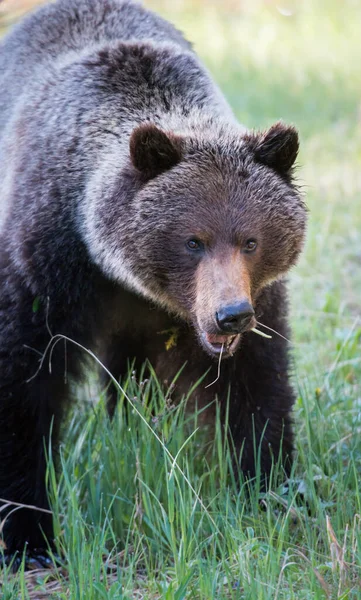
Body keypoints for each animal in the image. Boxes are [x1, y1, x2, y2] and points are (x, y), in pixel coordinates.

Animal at [0, 0, 306, 568]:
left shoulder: (257, 297)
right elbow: (23, 384)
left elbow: (257, 385)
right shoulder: (48, 263)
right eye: (193, 240)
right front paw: (30, 535)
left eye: (251, 240)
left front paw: (268, 494)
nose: (231, 315)